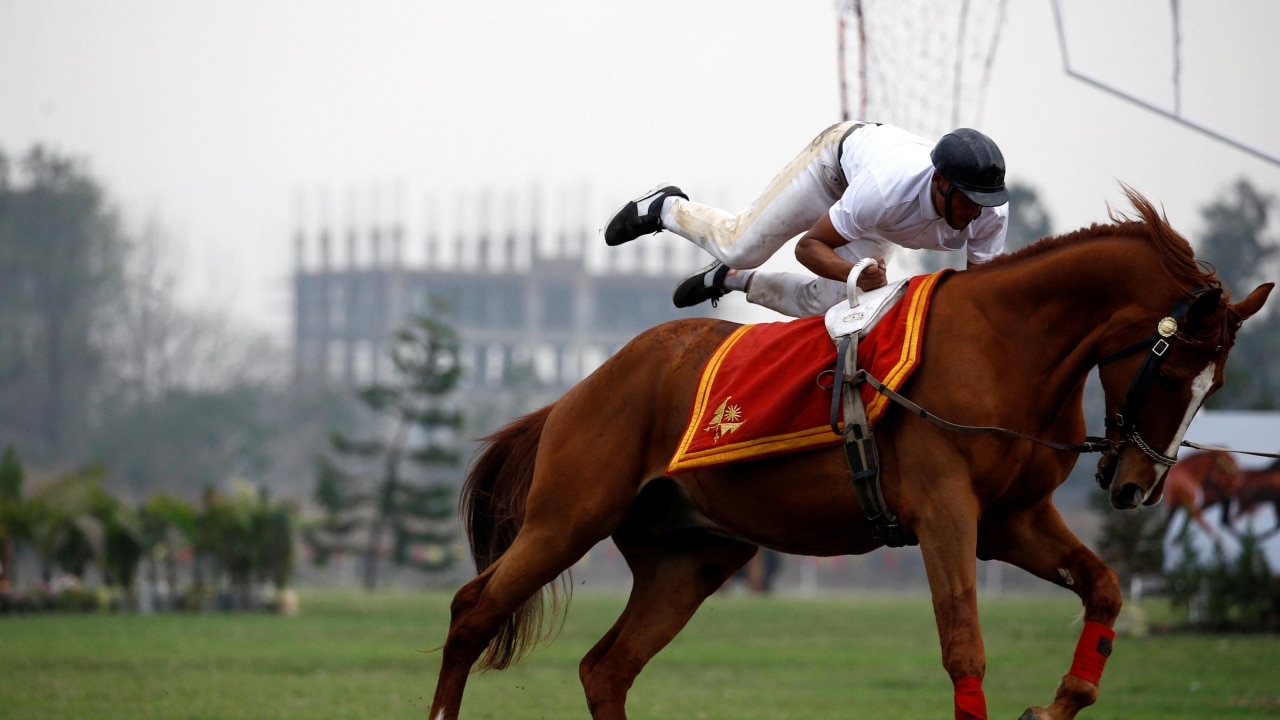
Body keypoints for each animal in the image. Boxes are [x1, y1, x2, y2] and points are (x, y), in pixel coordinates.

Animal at [430, 190, 1269, 717]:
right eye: (1175, 373)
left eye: (1218, 384)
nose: (1137, 485)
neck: (1004, 345)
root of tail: (583, 387)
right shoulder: (944, 511)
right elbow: (964, 647)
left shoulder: (1012, 519)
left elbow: (1104, 590)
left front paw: (1054, 703)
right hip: (568, 516)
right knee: (473, 612)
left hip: (690, 557)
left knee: (605, 667)